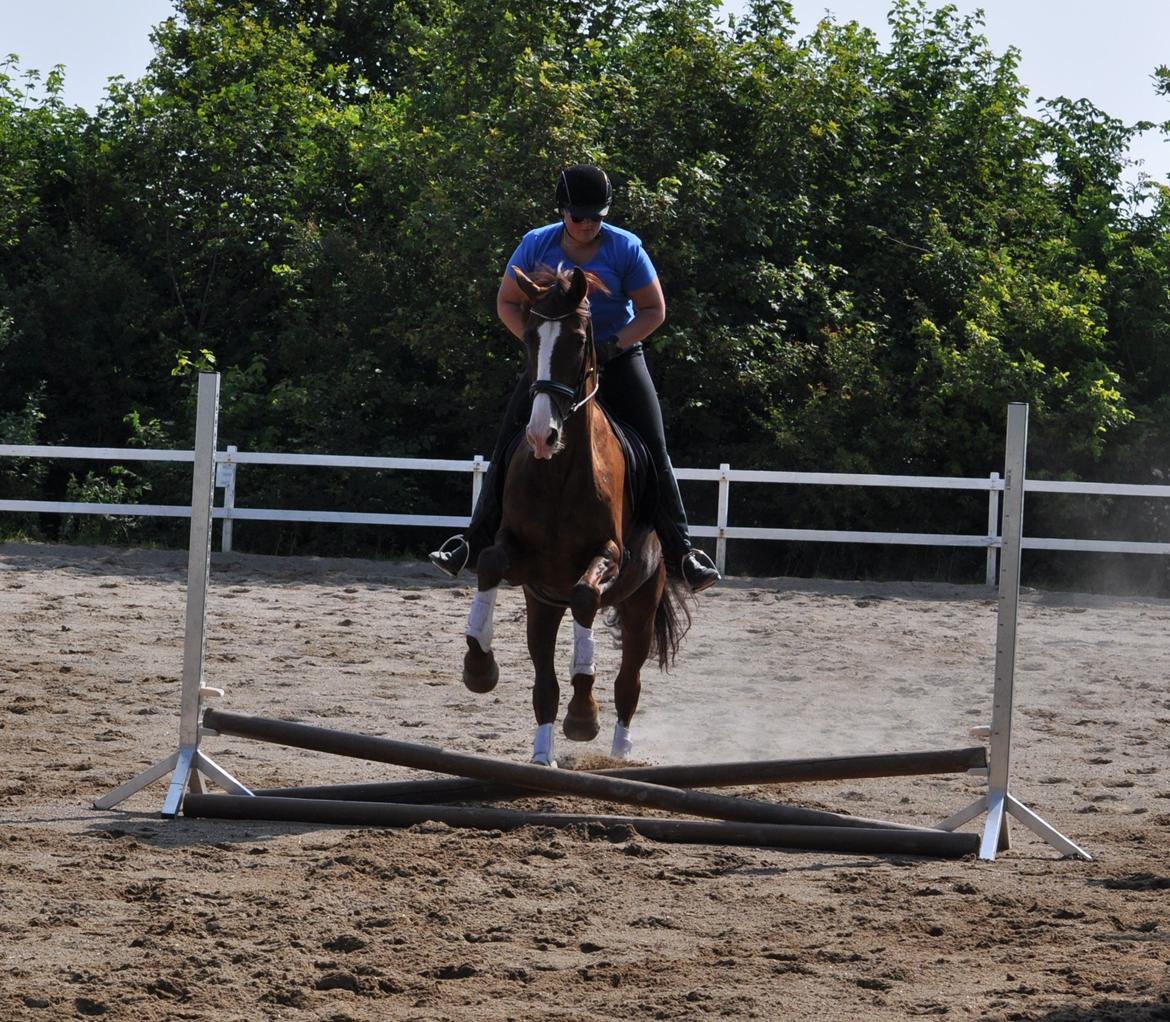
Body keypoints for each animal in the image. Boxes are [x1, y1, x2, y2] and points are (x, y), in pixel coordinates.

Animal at [460, 263, 687, 767]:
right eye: (530, 338)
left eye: (580, 340)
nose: (542, 435)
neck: (559, 473)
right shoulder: (520, 558)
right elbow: (489, 563)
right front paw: (479, 665)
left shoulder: (610, 556)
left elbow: (585, 597)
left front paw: (584, 714)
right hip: (542, 607)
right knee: (544, 684)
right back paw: (542, 755)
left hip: (642, 603)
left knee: (628, 683)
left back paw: (619, 753)